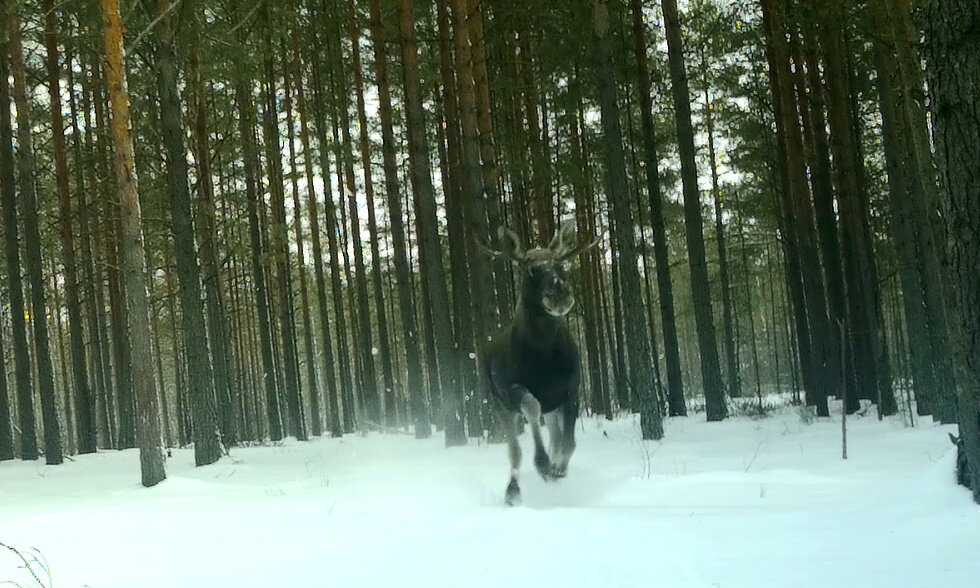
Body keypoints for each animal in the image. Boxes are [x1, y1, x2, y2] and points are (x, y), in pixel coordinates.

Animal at [480, 222, 600, 506]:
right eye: (531, 268)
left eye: (560, 264)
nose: (560, 294)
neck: (545, 358)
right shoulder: (515, 389)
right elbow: (532, 409)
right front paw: (543, 464)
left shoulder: (571, 390)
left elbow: (568, 443)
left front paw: (558, 467)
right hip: (499, 405)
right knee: (514, 450)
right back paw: (513, 491)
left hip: (550, 406)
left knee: (554, 435)